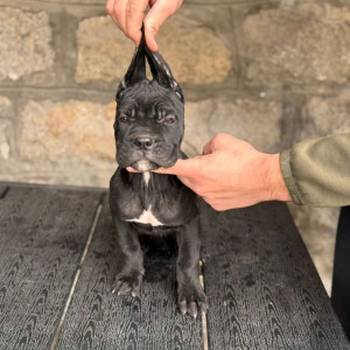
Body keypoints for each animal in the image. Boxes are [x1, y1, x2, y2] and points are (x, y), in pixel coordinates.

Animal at [110, 32, 208, 318]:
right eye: (124, 118)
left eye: (168, 119)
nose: (143, 140)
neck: (148, 180)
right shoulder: (121, 220)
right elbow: (129, 249)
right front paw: (130, 278)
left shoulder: (189, 223)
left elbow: (186, 259)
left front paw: (191, 294)